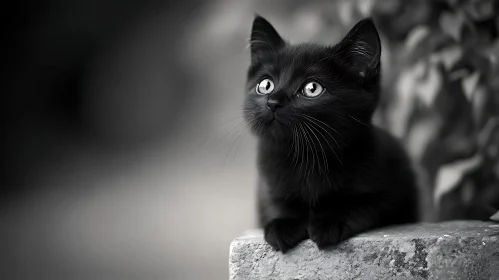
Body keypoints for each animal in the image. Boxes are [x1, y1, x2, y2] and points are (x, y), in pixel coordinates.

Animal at [244, 16, 420, 253]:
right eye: (265, 85)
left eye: (312, 88)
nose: (273, 102)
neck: (307, 157)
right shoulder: (267, 187)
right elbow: (278, 204)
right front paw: (283, 225)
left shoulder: (393, 192)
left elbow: (361, 205)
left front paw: (329, 222)